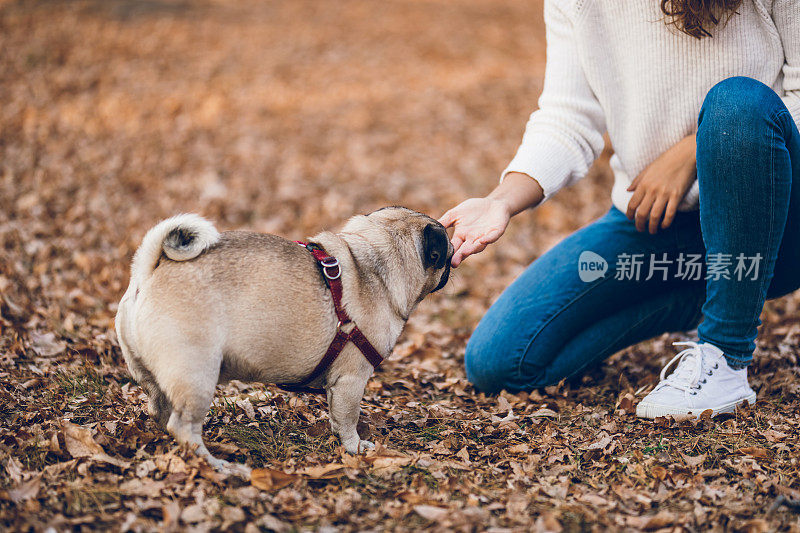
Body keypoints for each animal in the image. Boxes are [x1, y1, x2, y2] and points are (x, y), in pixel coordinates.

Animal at [114, 207, 450, 474]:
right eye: (444, 255)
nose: (452, 262)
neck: (374, 264)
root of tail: (149, 271)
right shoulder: (351, 379)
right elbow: (348, 418)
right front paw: (354, 448)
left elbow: (336, 415)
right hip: (197, 372)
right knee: (183, 426)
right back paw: (217, 465)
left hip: (155, 373)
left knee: (160, 408)